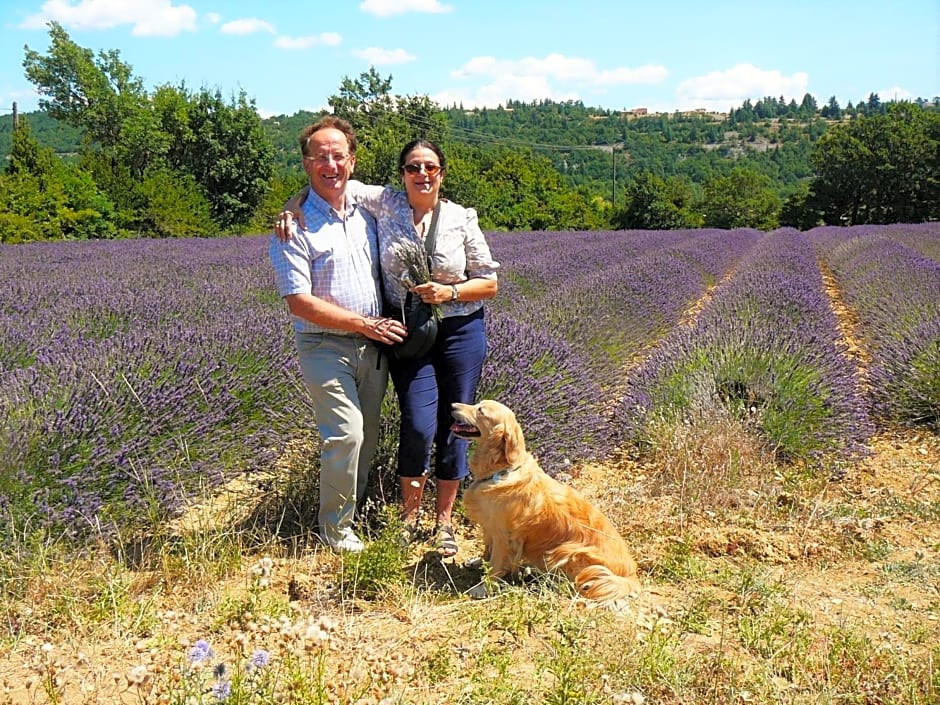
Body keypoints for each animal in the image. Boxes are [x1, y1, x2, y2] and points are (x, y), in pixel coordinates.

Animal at [454, 398, 644, 604]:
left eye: (480, 411)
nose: (452, 406)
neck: (501, 470)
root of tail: (630, 577)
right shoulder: (489, 525)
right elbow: (487, 551)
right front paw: (479, 562)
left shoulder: (505, 535)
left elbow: (496, 563)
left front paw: (483, 587)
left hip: (568, 552)